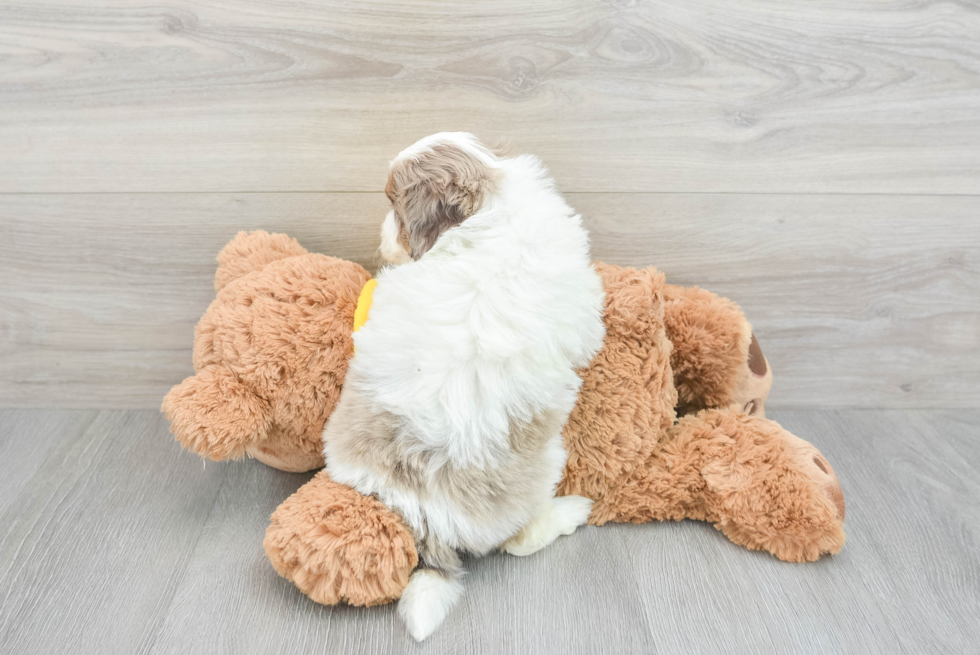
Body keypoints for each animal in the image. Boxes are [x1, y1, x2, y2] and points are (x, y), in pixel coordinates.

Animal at [322, 132, 604, 640]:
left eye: (393, 205)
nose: (381, 240)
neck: (491, 205)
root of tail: (427, 522)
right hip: (547, 465)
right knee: (520, 540)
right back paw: (570, 510)